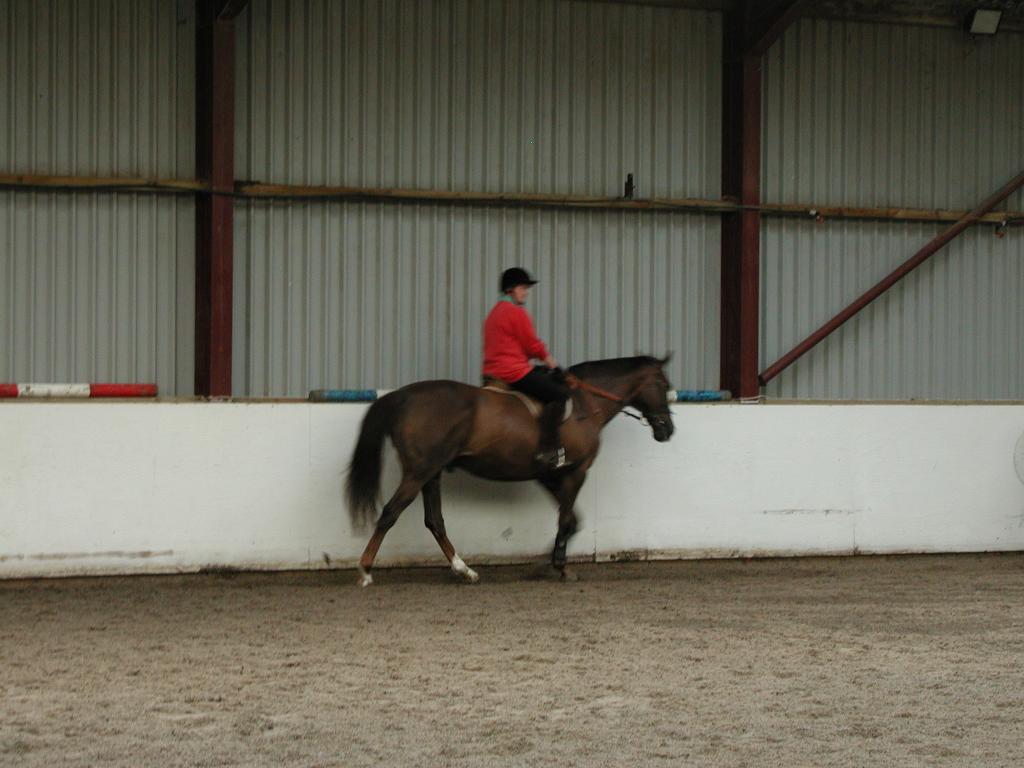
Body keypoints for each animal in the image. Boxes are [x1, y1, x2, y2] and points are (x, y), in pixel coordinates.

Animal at [348, 358, 675, 585]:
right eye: (662, 384)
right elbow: (567, 519)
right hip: (419, 472)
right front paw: (559, 566)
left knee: (434, 521)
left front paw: (545, 562)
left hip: (432, 472)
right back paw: (365, 570)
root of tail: (403, 395)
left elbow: (571, 519)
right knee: (391, 513)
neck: (585, 405)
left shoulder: (549, 475)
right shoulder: (576, 471)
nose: (668, 429)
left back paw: (464, 570)